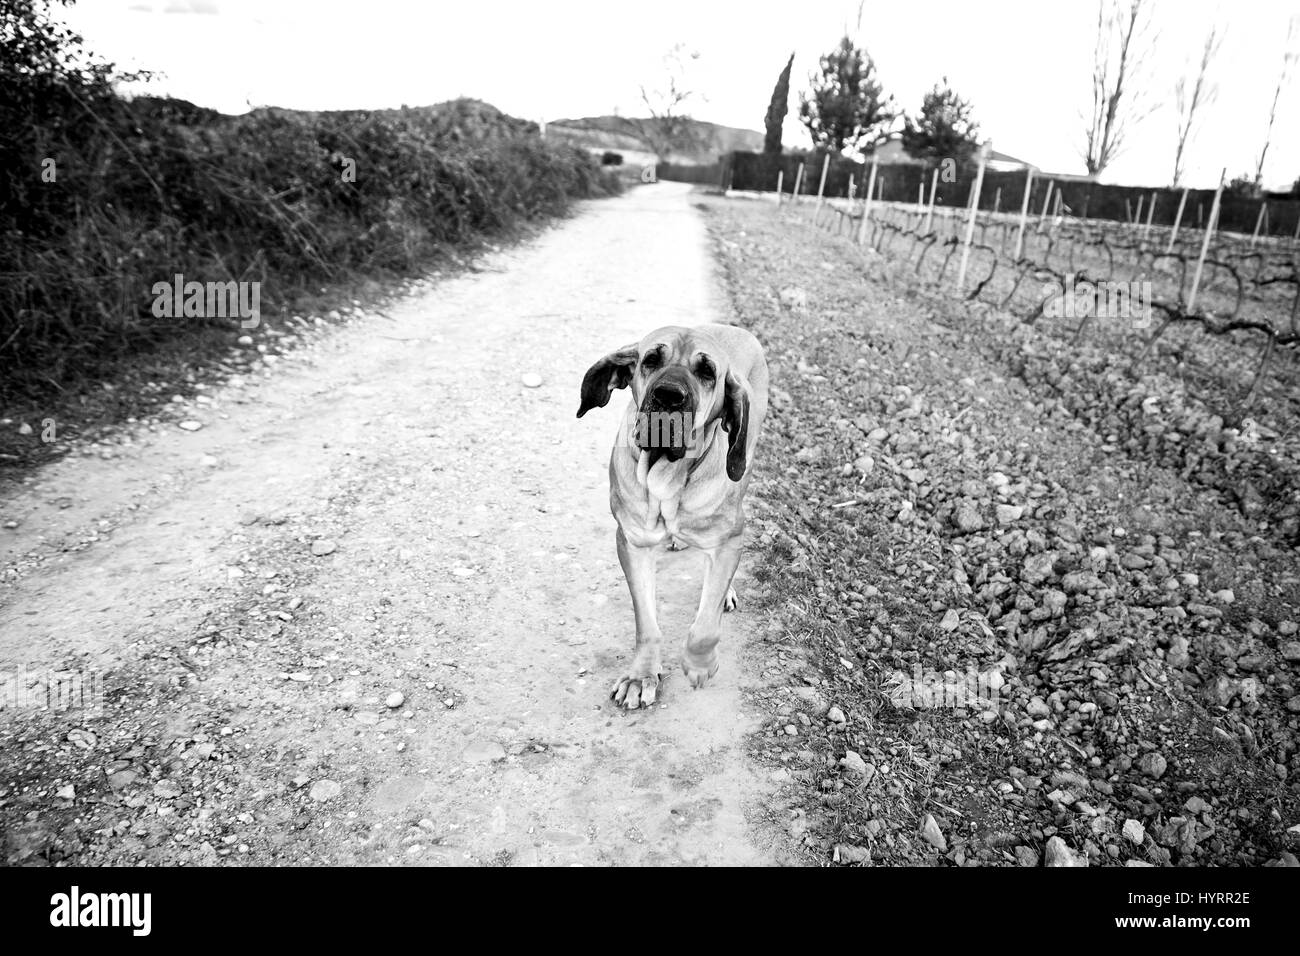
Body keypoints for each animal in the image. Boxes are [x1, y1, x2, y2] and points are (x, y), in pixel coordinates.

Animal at [577, 325, 759, 707]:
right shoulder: (633, 544)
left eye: (708, 373)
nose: (669, 396)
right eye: (650, 360)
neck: (668, 478)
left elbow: (705, 625)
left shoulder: (730, 540)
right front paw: (641, 675)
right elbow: (646, 622)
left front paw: (699, 664)